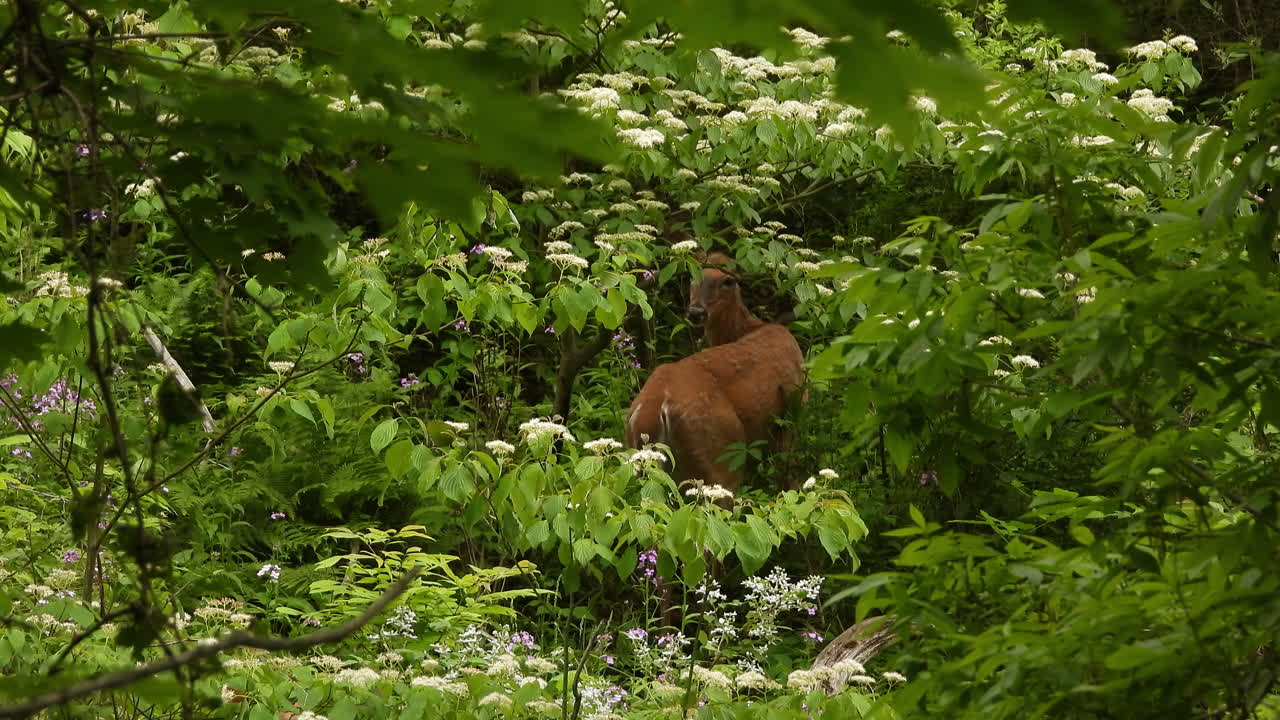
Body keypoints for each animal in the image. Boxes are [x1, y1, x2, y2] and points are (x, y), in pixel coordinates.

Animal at [624, 252, 806, 502]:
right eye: (692, 275)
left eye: (728, 281)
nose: (696, 312)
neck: (750, 328)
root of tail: (655, 406)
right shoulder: (793, 410)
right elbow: (788, 473)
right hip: (719, 457)